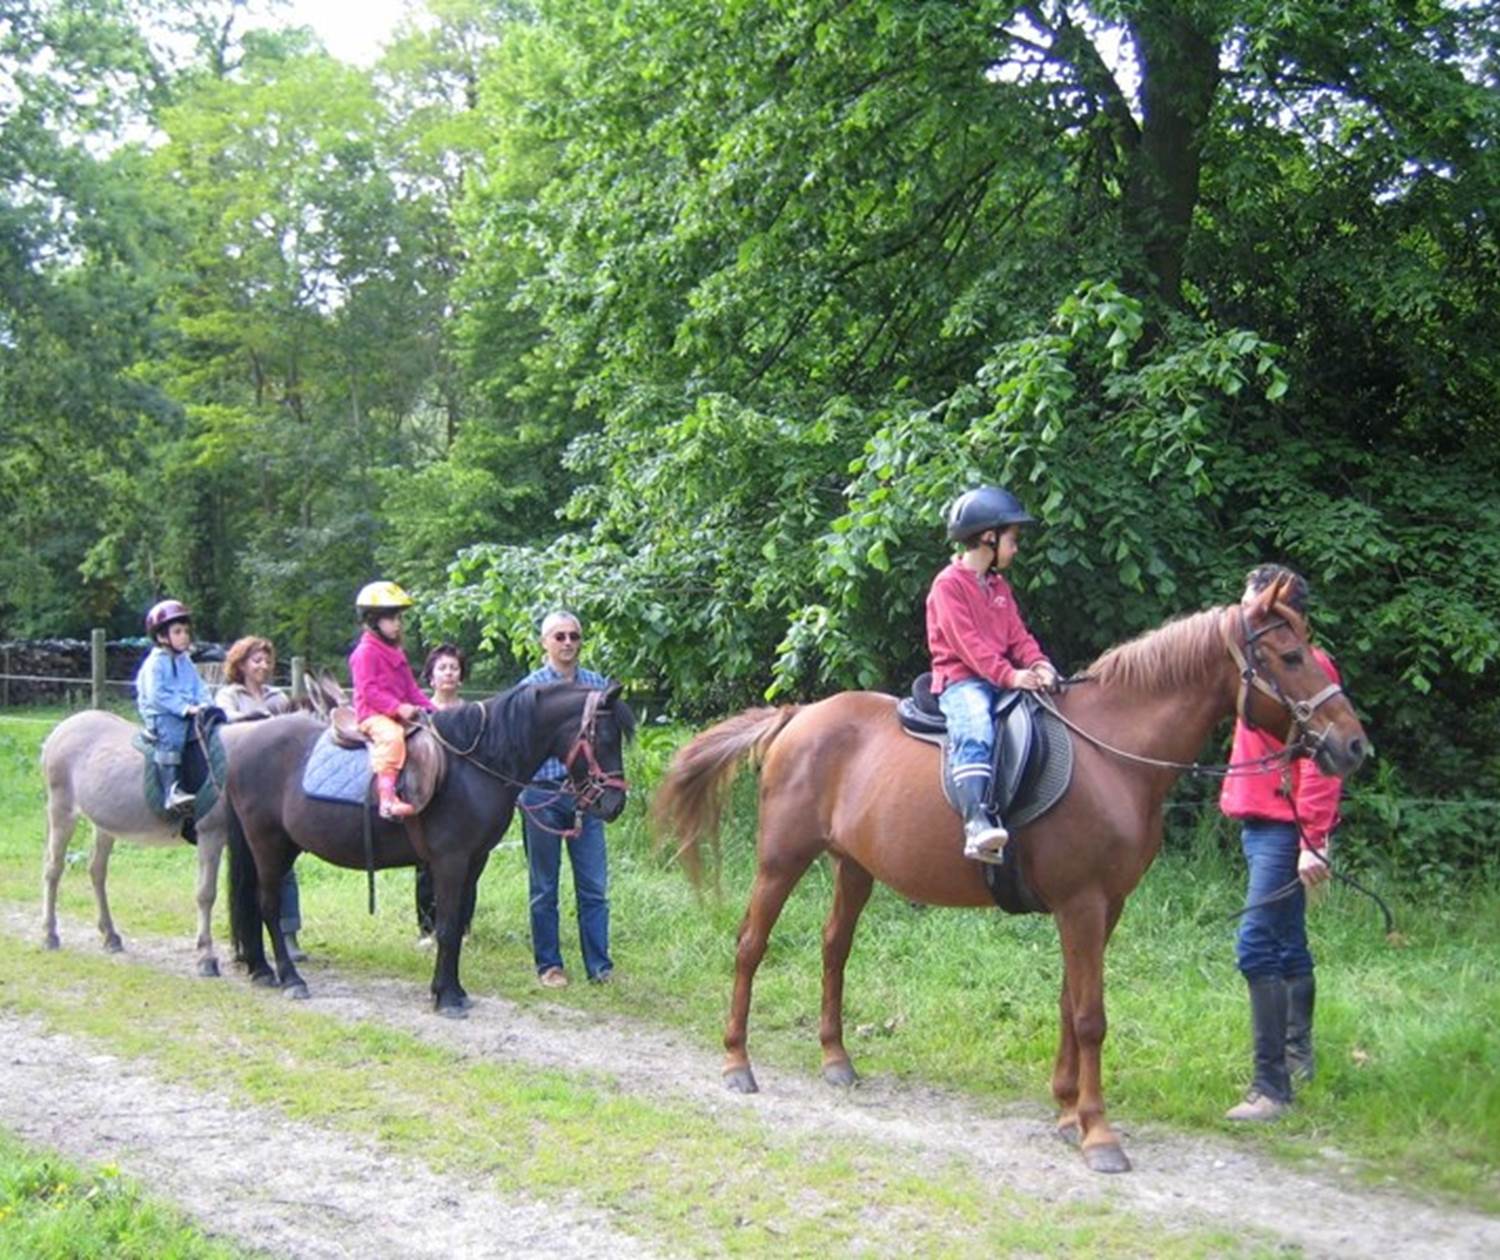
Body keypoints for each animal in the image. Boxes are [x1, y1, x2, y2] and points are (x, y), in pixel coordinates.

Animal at [39, 710, 256, 976]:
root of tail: (59, 731)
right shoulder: (210, 835)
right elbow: (206, 894)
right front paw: (206, 957)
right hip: (61, 811)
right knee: (53, 869)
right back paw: (49, 934)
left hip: (104, 825)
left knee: (96, 870)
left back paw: (110, 936)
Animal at [225, 682, 634, 1015]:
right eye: (605, 738)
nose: (614, 805)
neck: (475, 766)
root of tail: (242, 739)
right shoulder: (450, 862)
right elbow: (448, 926)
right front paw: (448, 997)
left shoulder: (474, 862)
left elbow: (454, 925)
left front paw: (452, 990)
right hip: (268, 844)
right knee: (268, 906)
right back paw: (291, 978)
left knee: (251, 902)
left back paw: (261, 970)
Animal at [652, 576, 1369, 1174]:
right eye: (1292, 657)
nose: (1355, 746)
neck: (1114, 755)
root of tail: (798, 715)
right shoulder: (1082, 904)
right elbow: (1091, 1016)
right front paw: (1099, 1134)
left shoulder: (1104, 907)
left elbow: (1069, 1004)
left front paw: (1068, 1111)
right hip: (782, 858)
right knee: (751, 946)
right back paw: (736, 1062)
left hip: (853, 866)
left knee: (834, 951)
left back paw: (836, 1059)